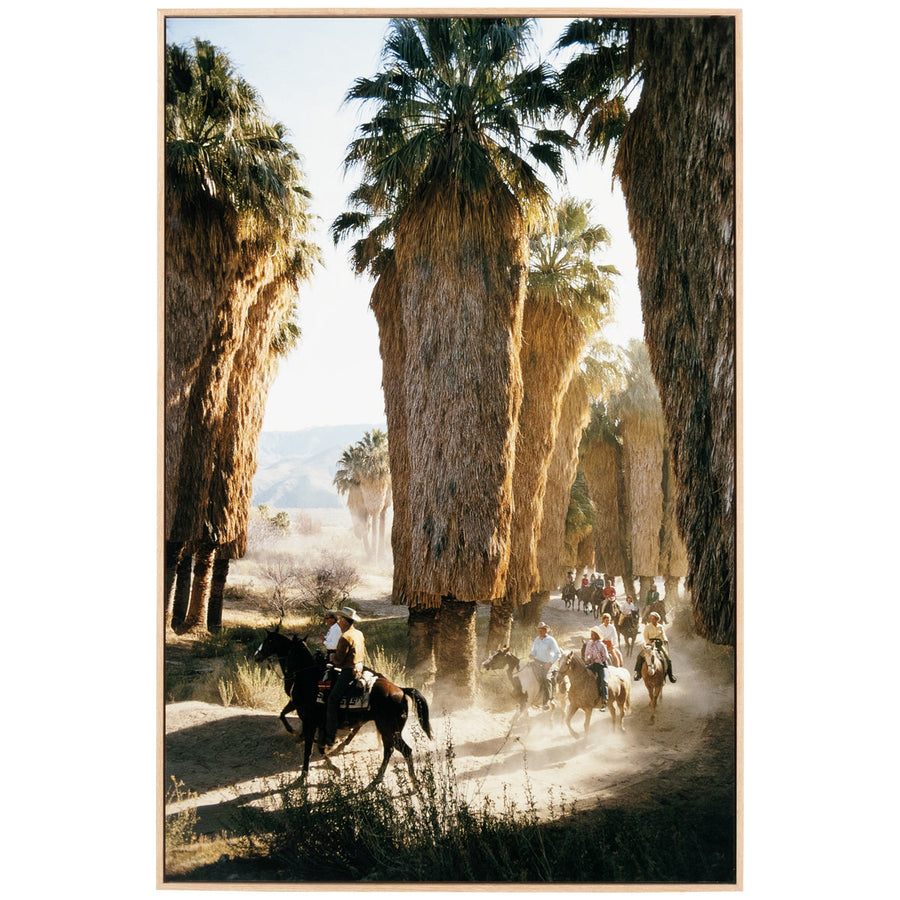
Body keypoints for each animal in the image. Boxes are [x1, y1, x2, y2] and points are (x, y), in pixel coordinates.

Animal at [253, 624, 436, 788]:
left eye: (268, 641)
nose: (256, 656)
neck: (307, 676)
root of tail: (401, 690)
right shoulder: (319, 723)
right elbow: (317, 745)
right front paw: (333, 767)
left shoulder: (310, 721)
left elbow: (309, 748)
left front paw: (305, 775)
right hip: (388, 729)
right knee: (389, 750)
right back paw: (377, 779)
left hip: (389, 729)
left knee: (403, 750)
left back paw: (408, 782)